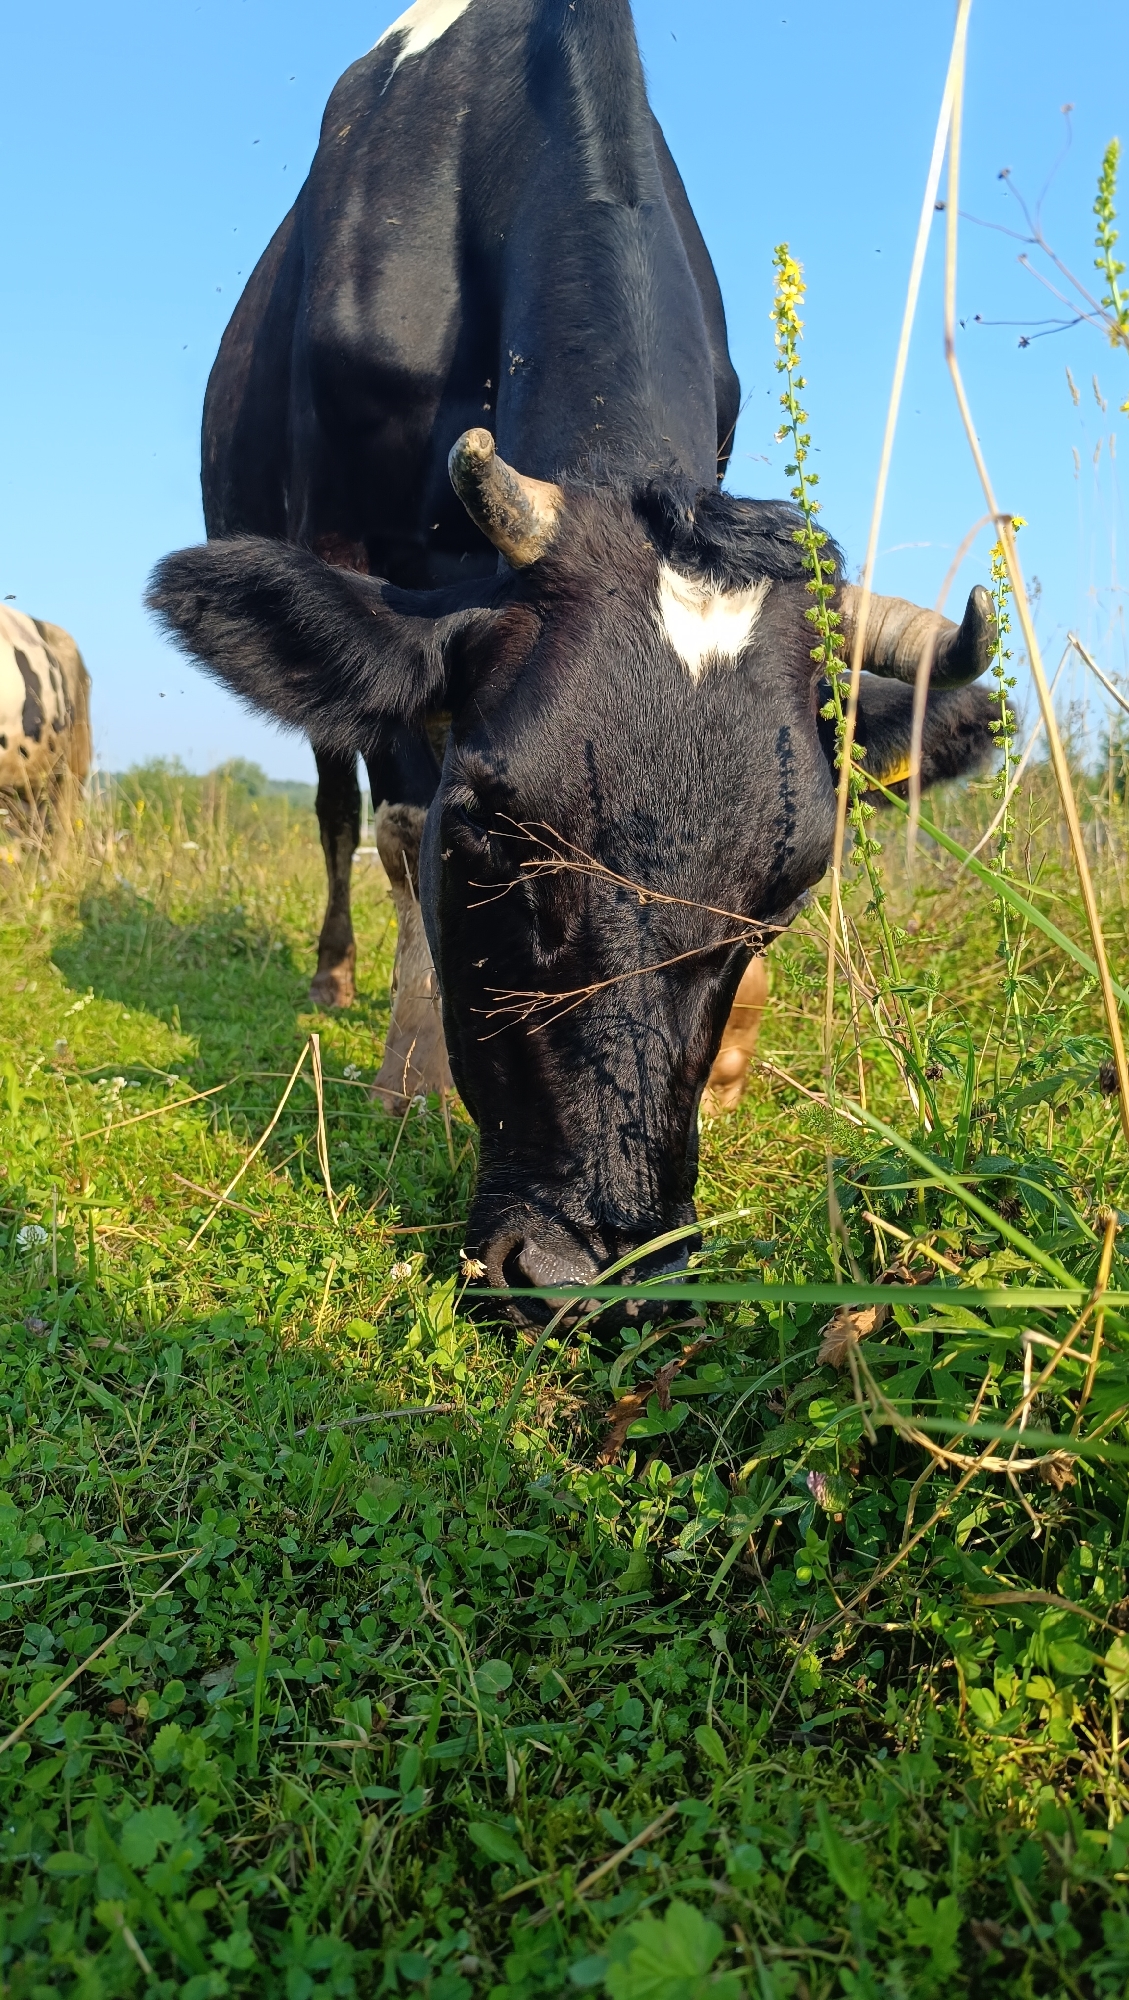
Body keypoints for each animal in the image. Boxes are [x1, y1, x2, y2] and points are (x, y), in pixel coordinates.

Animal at [149, 0, 998, 1318]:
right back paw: (335, 979)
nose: (588, 1275)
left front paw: (735, 1061)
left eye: (787, 891)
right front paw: (409, 1077)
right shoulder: (353, 542)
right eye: (490, 834)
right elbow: (398, 824)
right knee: (339, 808)